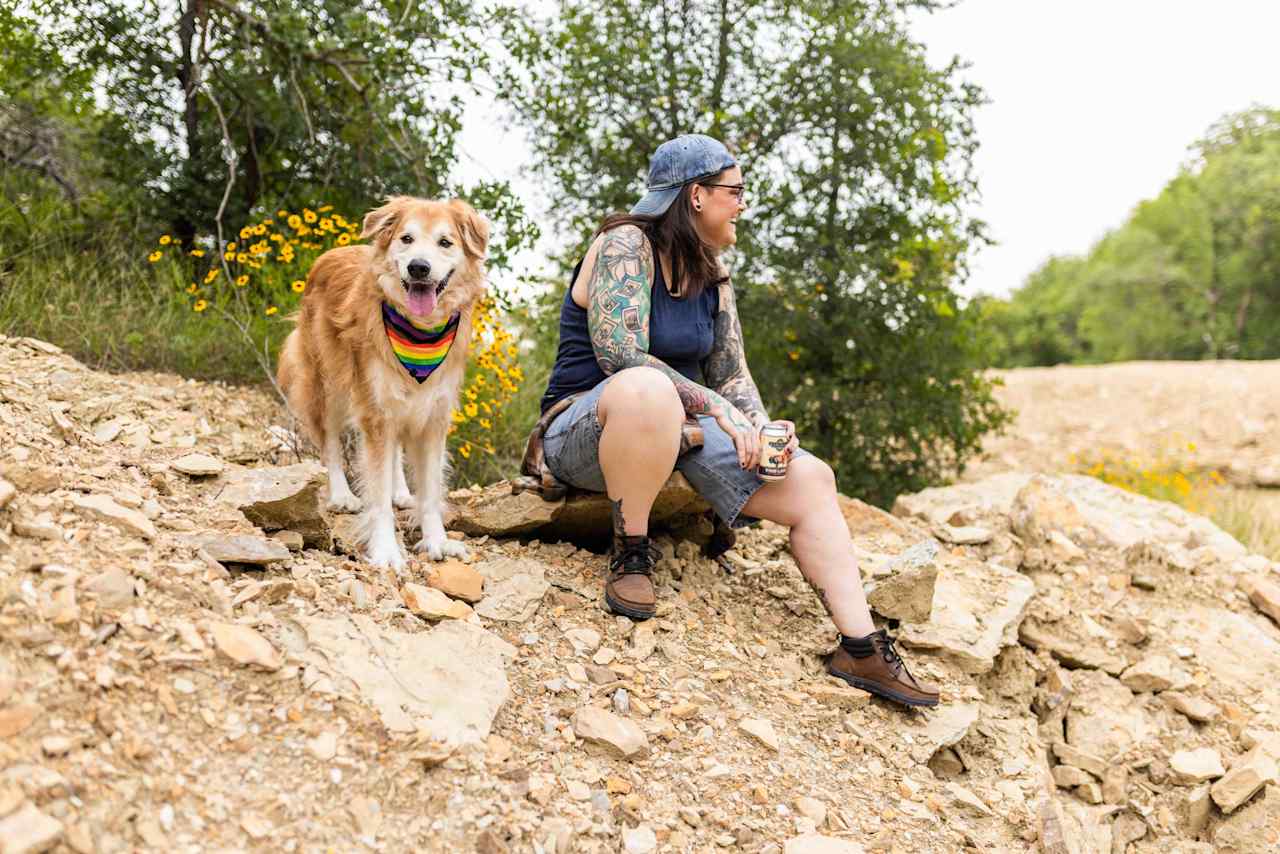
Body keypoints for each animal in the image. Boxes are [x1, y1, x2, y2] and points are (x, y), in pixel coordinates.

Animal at [277, 198, 486, 573]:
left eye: (445, 243)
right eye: (406, 238)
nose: (419, 267)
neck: (420, 335)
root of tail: (329, 254)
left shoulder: (433, 415)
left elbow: (430, 491)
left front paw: (437, 541)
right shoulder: (375, 412)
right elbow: (376, 491)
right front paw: (386, 549)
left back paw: (400, 491)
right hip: (329, 386)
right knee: (331, 443)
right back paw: (342, 495)